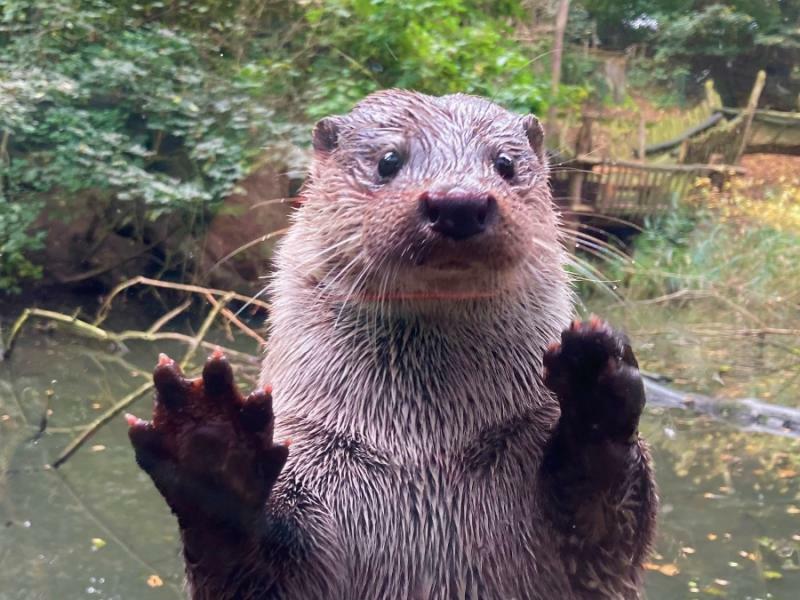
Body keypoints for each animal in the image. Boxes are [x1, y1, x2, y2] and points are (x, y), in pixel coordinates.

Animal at [130, 90, 656, 600]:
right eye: (388, 160)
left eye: (505, 163)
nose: (458, 202)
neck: (424, 454)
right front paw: (211, 443)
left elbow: (608, 525)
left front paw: (593, 378)